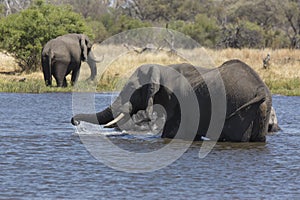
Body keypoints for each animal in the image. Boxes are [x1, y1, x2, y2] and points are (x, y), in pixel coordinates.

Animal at [71, 59, 274, 142]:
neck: (162, 68)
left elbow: (171, 134)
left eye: (131, 89)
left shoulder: (178, 104)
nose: (74, 121)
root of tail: (260, 90)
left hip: (240, 110)